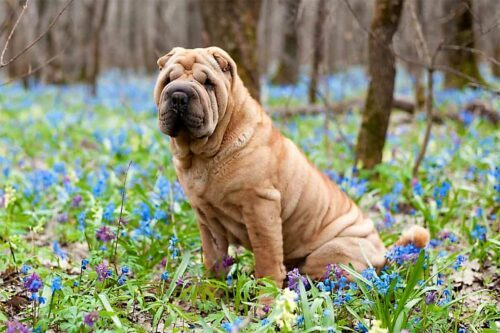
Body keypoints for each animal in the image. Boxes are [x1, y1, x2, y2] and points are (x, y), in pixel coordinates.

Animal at [153, 46, 430, 288]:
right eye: (168, 79)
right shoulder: (206, 216)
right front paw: (211, 291)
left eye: (208, 83)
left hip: (330, 253)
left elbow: (267, 258)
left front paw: (265, 303)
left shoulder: (260, 206)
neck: (203, 156)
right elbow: (213, 257)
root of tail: (384, 251)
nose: (178, 94)